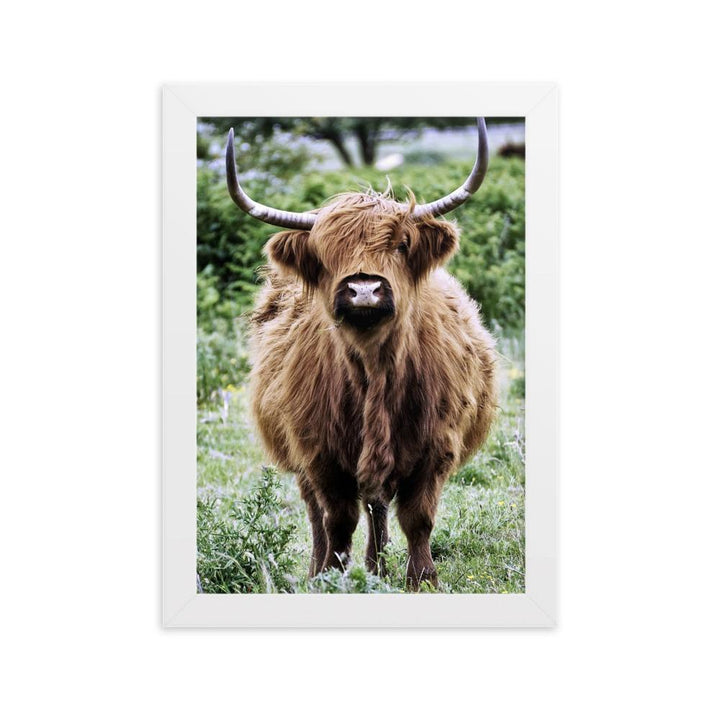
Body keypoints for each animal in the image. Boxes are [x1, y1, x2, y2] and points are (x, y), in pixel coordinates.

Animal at [225, 119, 497, 589]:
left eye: (402, 244)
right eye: (325, 252)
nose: (364, 289)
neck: (375, 370)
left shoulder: (436, 448)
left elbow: (417, 518)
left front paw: (422, 580)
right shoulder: (319, 454)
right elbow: (337, 519)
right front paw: (332, 577)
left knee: (378, 504)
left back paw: (377, 566)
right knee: (321, 512)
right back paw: (326, 570)